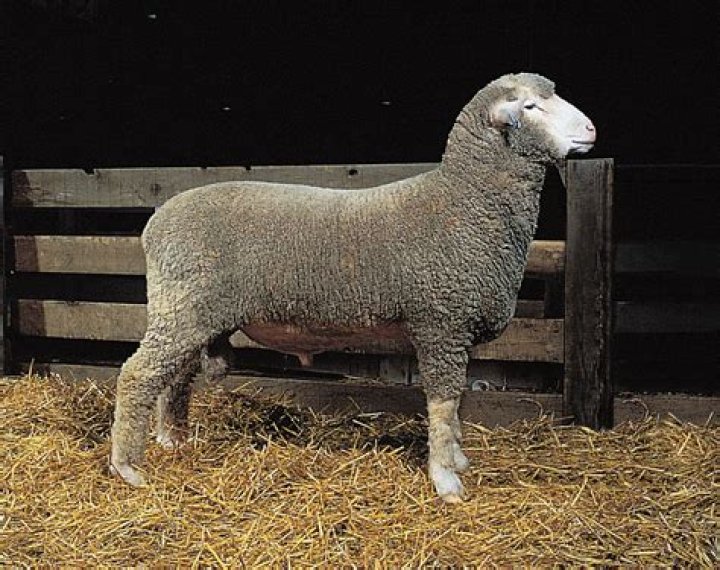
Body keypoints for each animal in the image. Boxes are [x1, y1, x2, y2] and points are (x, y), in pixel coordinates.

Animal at [110, 72, 596, 502]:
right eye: (530, 107)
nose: (592, 130)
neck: (463, 203)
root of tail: (157, 220)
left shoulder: (455, 331)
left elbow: (455, 405)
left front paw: (457, 460)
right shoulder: (440, 324)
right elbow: (443, 404)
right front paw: (446, 481)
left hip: (194, 314)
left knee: (175, 377)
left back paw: (172, 439)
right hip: (181, 309)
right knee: (138, 375)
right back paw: (126, 466)